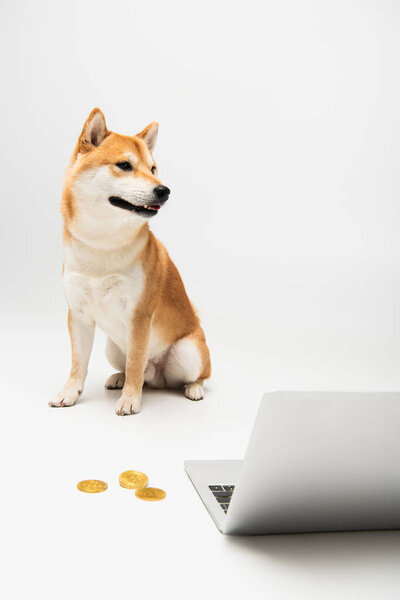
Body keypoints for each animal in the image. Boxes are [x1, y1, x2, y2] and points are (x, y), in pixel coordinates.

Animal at [50, 109, 211, 418]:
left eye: (153, 168)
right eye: (125, 165)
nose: (164, 190)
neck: (103, 243)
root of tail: (160, 377)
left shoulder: (139, 316)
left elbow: (136, 361)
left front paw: (130, 399)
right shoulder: (78, 314)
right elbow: (78, 363)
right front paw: (69, 392)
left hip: (188, 351)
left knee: (190, 375)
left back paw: (192, 388)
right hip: (112, 348)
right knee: (135, 370)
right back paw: (118, 378)